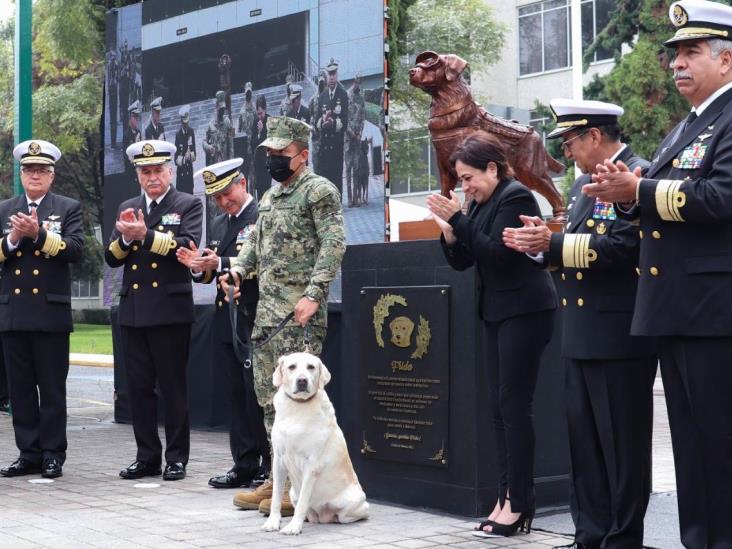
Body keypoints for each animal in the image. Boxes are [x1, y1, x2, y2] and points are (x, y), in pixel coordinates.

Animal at [260, 352, 368, 536]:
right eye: (292, 367)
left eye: (311, 367)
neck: (297, 407)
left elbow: (304, 500)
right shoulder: (279, 460)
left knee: (345, 516)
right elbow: (275, 498)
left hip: (354, 502)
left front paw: (294, 527)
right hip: (292, 493)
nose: (302, 380)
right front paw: (273, 522)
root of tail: (323, 516)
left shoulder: (311, 464)